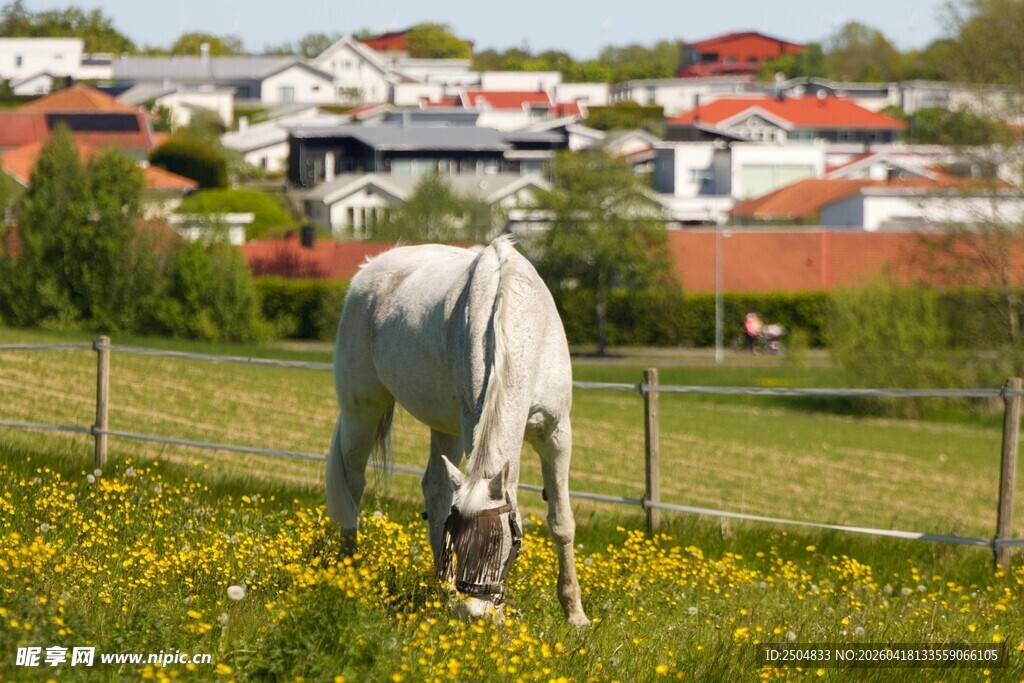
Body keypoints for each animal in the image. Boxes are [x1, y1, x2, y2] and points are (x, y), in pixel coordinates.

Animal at [326, 236, 589, 626]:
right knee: (352, 488)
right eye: (461, 543)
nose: (475, 613)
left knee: (435, 491)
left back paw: (443, 588)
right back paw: (350, 572)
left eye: (501, 543)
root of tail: (368, 271)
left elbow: (561, 521)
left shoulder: (556, 433)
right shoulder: (472, 425)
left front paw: (575, 613)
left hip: (443, 427)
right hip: (362, 413)